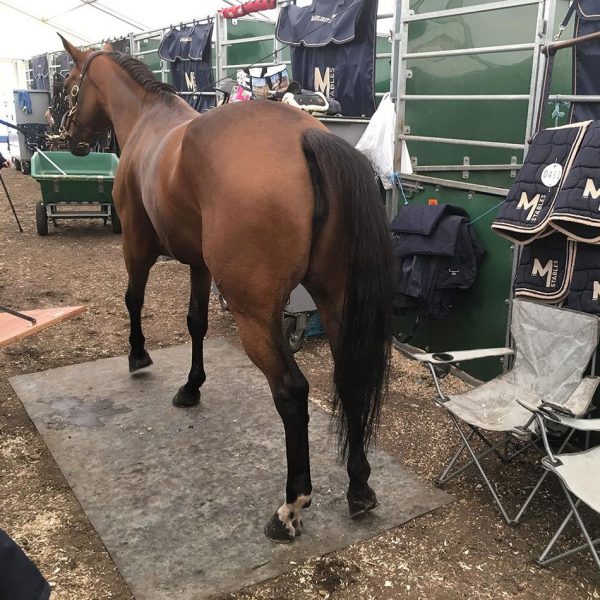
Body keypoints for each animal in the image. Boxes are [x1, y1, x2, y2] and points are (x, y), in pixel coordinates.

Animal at [58, 37, 392, 544]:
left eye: (71, 84)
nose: (67, 135)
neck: (148, 119)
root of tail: (305, 136)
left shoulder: (135, 245)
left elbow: (133, 299)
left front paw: (138, 356)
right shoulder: (199, 264)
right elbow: (196, 321)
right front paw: (191, 387)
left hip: (254, 313)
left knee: (292, 391)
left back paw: (290, 508)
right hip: (337, 303)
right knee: (348, 378)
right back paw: (359, 489)